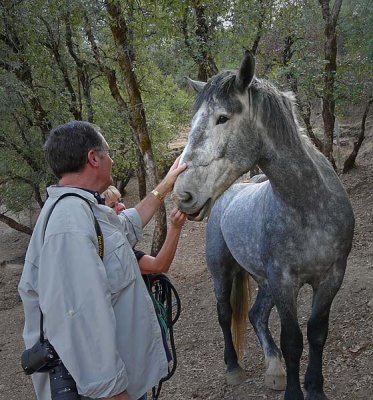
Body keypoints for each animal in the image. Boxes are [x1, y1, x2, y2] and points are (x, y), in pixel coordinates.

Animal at [173, 50, 354, 400]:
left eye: (222, 118)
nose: (182, 195)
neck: (308, 208)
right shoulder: (284, 282)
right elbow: (293, 341)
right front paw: (296, 393)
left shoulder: (331, 277)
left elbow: (317, 334)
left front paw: (315, 389)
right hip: (224, 271)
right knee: (225, 315)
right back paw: (233, 368)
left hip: (264, 281)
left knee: (256, 315)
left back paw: (274, 369)